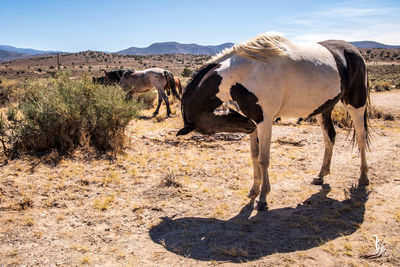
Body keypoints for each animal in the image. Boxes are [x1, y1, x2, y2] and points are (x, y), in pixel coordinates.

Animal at [178, 33, 372, 211]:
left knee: (361, 138)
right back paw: (321, 175)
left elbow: (264, 159)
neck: (245, 72)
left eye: (207, 130)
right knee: (330, 138)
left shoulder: (264, 121)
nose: (248, 126)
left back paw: (363, 178)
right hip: (324, 109)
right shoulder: (255, 119)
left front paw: (263, 197)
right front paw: (254, 189)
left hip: (356, 104)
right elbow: (254, 154)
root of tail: (353, 51)